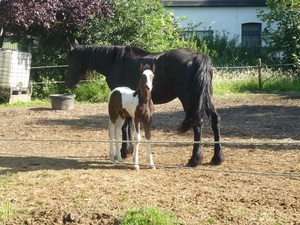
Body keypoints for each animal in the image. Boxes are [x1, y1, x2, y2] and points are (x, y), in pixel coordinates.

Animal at [66, 40, 225, 167]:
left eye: (69, 59)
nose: (69, 83)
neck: (115, 62)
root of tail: (199, 57)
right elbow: (128, 126)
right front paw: (128, 151)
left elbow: (125, 127)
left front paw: (124, 152)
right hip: (206, 96)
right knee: (215, 120)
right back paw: (217, 158)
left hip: (189, 99)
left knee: (197, 123)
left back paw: (194, 159)